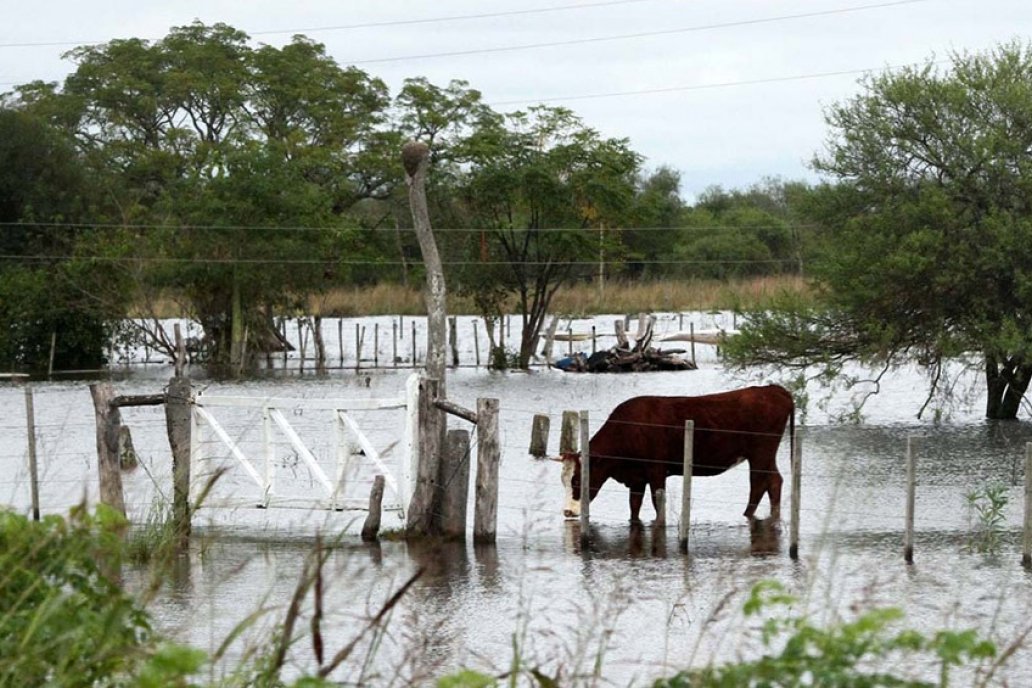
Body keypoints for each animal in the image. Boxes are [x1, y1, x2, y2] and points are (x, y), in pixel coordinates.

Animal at [561, 387, 792, 521]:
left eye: (576, 480)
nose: (567, 511)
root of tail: (773, 388)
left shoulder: (656, 470)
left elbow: (657, 503)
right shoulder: (637, 477)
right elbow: (634, 506)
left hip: (761, 452)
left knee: (759, 483)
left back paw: (747, 515)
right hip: (765, 454)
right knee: (774, 481)